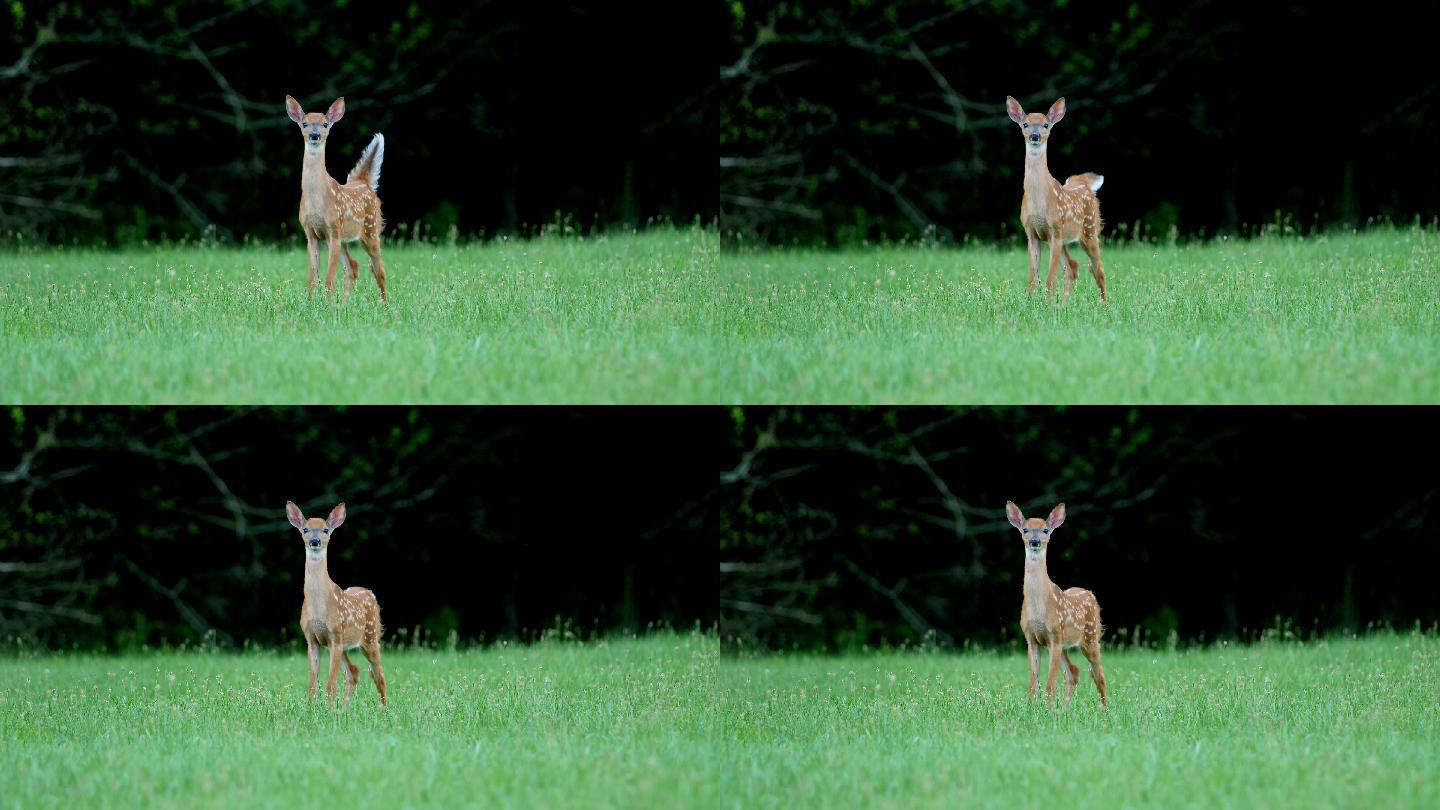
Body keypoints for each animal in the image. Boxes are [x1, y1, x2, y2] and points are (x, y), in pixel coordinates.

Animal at [283, 95, 388, 302]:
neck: (317, 200)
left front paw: (327, 305)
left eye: (325, 124)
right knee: (353, 267)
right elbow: (312, 279)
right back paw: (344, 304)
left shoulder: (333, 230)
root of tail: (364, 182)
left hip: (371, 231)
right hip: (345, 238)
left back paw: (385, 304)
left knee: (379, 269)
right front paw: (312, 303)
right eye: (305, 124)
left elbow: (329, 279)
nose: (314, 135)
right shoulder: (311, 233)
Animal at [285, 501, 388, 703]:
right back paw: (345, 708)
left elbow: (330, 685)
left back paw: (384, 708)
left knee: (379, 675)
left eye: (325, 530)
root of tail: (370, 593)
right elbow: (313, 685)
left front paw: (329, 709)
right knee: (353, 672)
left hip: (369, 637)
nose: (314, 541)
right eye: (305, 529)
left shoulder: (335, 635)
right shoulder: (312, 639)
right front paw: (313, 708)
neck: (318, 608)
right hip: (342, 644)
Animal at [1008, 97, 1105, 299]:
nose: (1035, 136)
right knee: (1072, 267)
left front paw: (1048, 304)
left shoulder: (1054, 230)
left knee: (1098, 270)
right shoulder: (1032, 233)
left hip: (1090, 231)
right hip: (1065, 238)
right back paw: (1064, 303)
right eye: (1025, 124)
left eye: (1046, 125)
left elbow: (1050, 280)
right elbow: (1033, 280)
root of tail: (1084, 183)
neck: (1039, 201)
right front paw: (1033, 302)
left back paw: (1104, 303)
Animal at [1008, 501, 1105, 703]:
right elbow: (1033, 685)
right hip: (1064, 644)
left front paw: (1048, 709)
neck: (1039, 607)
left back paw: (1104, 708)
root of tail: (1091, 594)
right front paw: (1033, 707)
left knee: (1099, 675)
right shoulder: (1031, 639)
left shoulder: (1054, 635)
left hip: (1090, 637)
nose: (1034, 542)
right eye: (1025, 529)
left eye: (1045, 530)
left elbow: (1050, 685)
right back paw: (1065, 708)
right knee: (1073, 672)